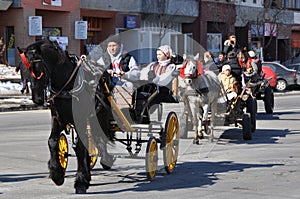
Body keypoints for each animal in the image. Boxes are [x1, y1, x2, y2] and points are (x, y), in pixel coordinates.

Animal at [18, 38, 115, 193]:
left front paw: (80, 181)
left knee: (99, 138)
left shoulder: (80, 119)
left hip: (99, 117)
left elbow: (80, 147)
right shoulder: (58, 118)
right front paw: (56, 173)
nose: (37, 99)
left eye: (37, 70)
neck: (67, 84)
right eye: (23, 70)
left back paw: (104, 160)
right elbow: (52, 141)